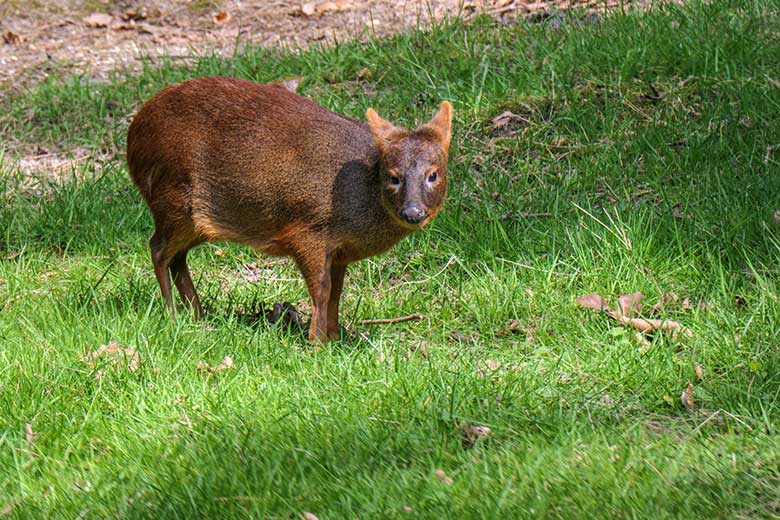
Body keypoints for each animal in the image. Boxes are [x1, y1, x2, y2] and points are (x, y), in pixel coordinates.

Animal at [127, 76, 450, 342]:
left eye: (433, 174)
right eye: (393, 176)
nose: (412, 212)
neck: (359, 194)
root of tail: (134, 133)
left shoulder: (340, 251)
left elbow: (336, 292)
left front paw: (335, 337)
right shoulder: (307, 230)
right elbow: (322, 289)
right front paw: (317, 343)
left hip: (195, 219)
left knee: (177, 257)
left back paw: (198, 314)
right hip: (172, 196)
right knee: (157, 248)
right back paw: (172, 314)